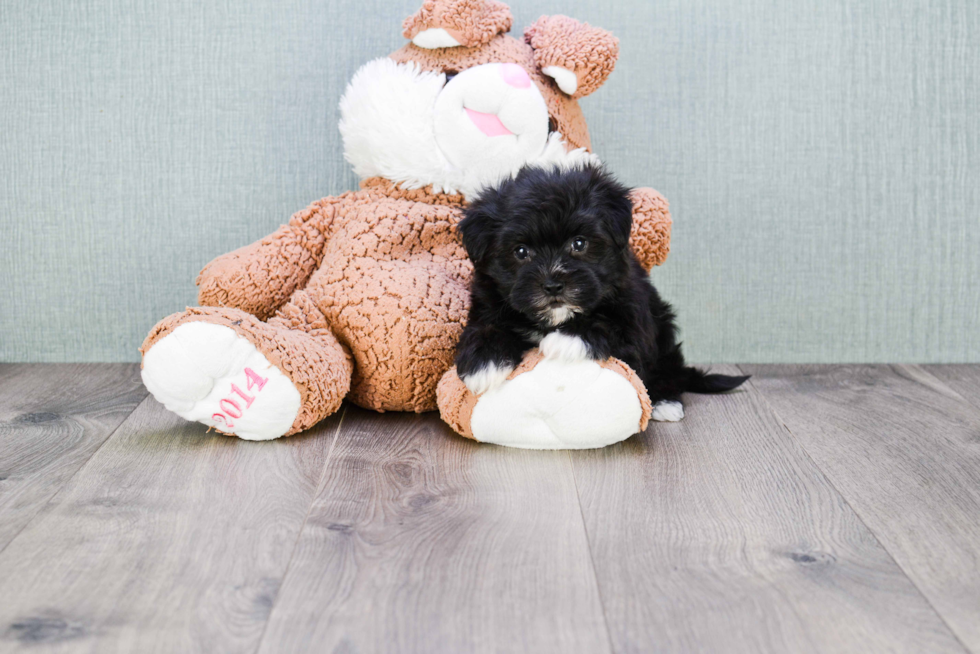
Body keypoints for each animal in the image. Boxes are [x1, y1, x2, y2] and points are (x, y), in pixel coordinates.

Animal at [456, 162, 748, 422]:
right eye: (520, 251)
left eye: (579, 243)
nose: (553, 285)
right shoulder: (487, 305)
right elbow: (485, 329)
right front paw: (485, 363)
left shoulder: (633, 318)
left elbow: (609, 325)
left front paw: (567, 339)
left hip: (663, 330)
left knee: (669, 369)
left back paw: (666, 402)